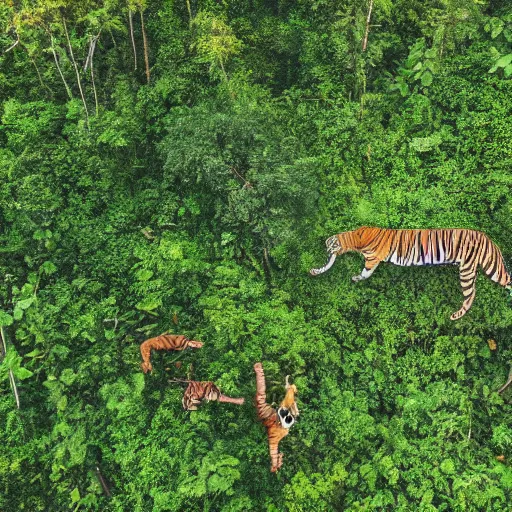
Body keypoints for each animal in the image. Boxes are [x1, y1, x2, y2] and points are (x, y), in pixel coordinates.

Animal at [310, 227, 510, 320]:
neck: (353, 238)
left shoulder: (372, 259)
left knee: (472, 295)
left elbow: (366, 272)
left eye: (328, 247)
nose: (326, 252)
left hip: (470, 270)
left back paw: (456, 315)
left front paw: (356, 278)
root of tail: (486, 237)